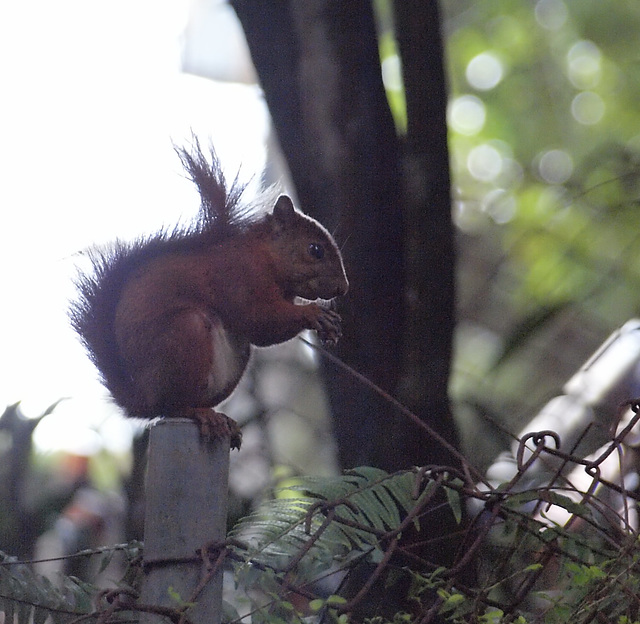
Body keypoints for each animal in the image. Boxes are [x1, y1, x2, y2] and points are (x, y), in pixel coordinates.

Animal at [70, 140, 348, 448]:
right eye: (315, 250)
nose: (343, 288)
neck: (264, 257)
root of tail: (144, 400)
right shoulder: (236, 276)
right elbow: (259, 319)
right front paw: (314, 313)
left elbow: (264, 331)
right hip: (186, 335)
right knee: (175, 405)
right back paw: (199, 413)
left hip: (234, 358)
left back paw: (222, 419)